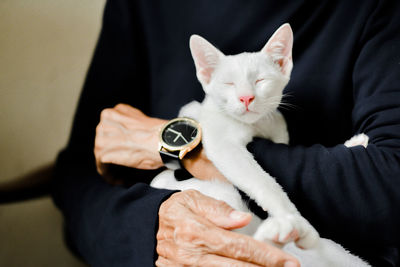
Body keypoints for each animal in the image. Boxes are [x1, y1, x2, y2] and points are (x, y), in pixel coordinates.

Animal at [152, 23, 370, 267]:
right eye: (229, 84)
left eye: (260, 80)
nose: (246, 98)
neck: (256, 126)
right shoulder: (221, 141)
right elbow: (265, 183)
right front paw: (289, 216)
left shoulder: (276, 127)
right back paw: (284, 230)